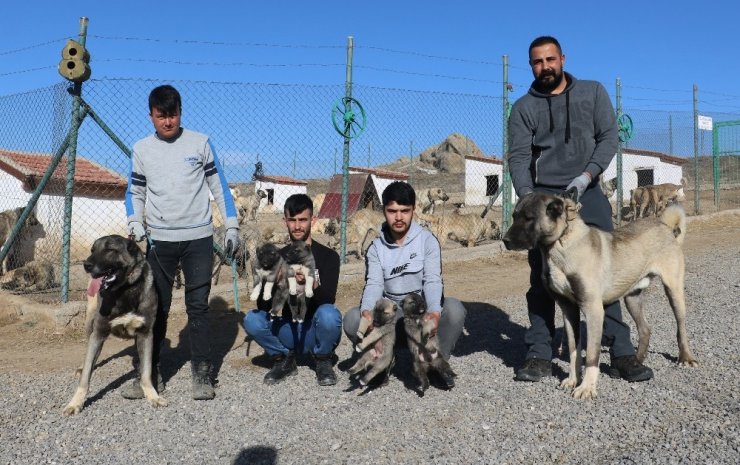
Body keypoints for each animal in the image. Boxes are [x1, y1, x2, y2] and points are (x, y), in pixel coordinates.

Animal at [62, 236, 168, 414]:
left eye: (110, 250)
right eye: (92, 250)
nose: (86, 265)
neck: (124, 291)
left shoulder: (146, 334)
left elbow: (147, 371)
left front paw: (153, 396)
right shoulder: (98, 333)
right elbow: (85, 378)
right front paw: (75, 402)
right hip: (90, 324)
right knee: (89, 353)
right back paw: (83, 366)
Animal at [502, 191, 700, 398]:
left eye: (529, 218)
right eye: (514, 216)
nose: (504, 240)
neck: (562, 243)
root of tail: (664, 226)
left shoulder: (593, 309)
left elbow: (591, 355)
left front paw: (587, 387)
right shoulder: (568, 309)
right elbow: (574, 349)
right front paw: (573, 380)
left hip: (674, 291)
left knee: (681, 327)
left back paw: (685, 357)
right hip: (632, 298)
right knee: (645, 329)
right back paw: (636, 362)